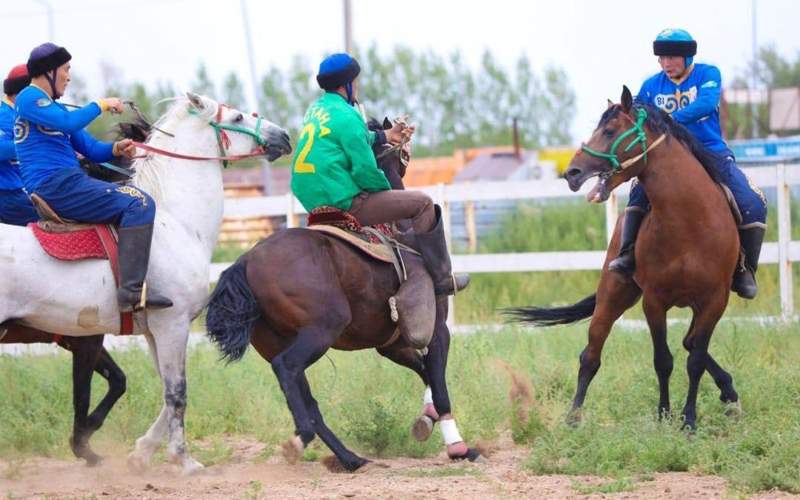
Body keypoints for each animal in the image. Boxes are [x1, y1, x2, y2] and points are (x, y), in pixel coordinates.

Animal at [0, 324, 126, 464]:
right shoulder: (86, 340)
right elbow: (83, 397)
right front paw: (83, 449)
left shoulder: (73, 340)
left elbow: (118, 380)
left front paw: (84, 436)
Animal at [206, 122, 482, 472]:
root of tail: (245, 261)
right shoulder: (437, 330)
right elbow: (439, 383)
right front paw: (459, 447)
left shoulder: (392, 345)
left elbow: (426, 373)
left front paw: (428, 416)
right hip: (322, 329)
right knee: (288, 369)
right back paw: (302, 438)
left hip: (274, 342)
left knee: (308, 399)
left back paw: (350, 458)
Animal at [510, 86, 740, 430]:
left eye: (609, 130)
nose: (572, 173)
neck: (690, 219)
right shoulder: (654, 301)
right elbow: (663, 360)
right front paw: (663, 414)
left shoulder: (715, 300)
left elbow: (695, 359)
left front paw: (688, 420)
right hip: (614, 292)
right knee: (590, 355)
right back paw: (573, 417)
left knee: (690, 343)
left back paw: (729, 392)